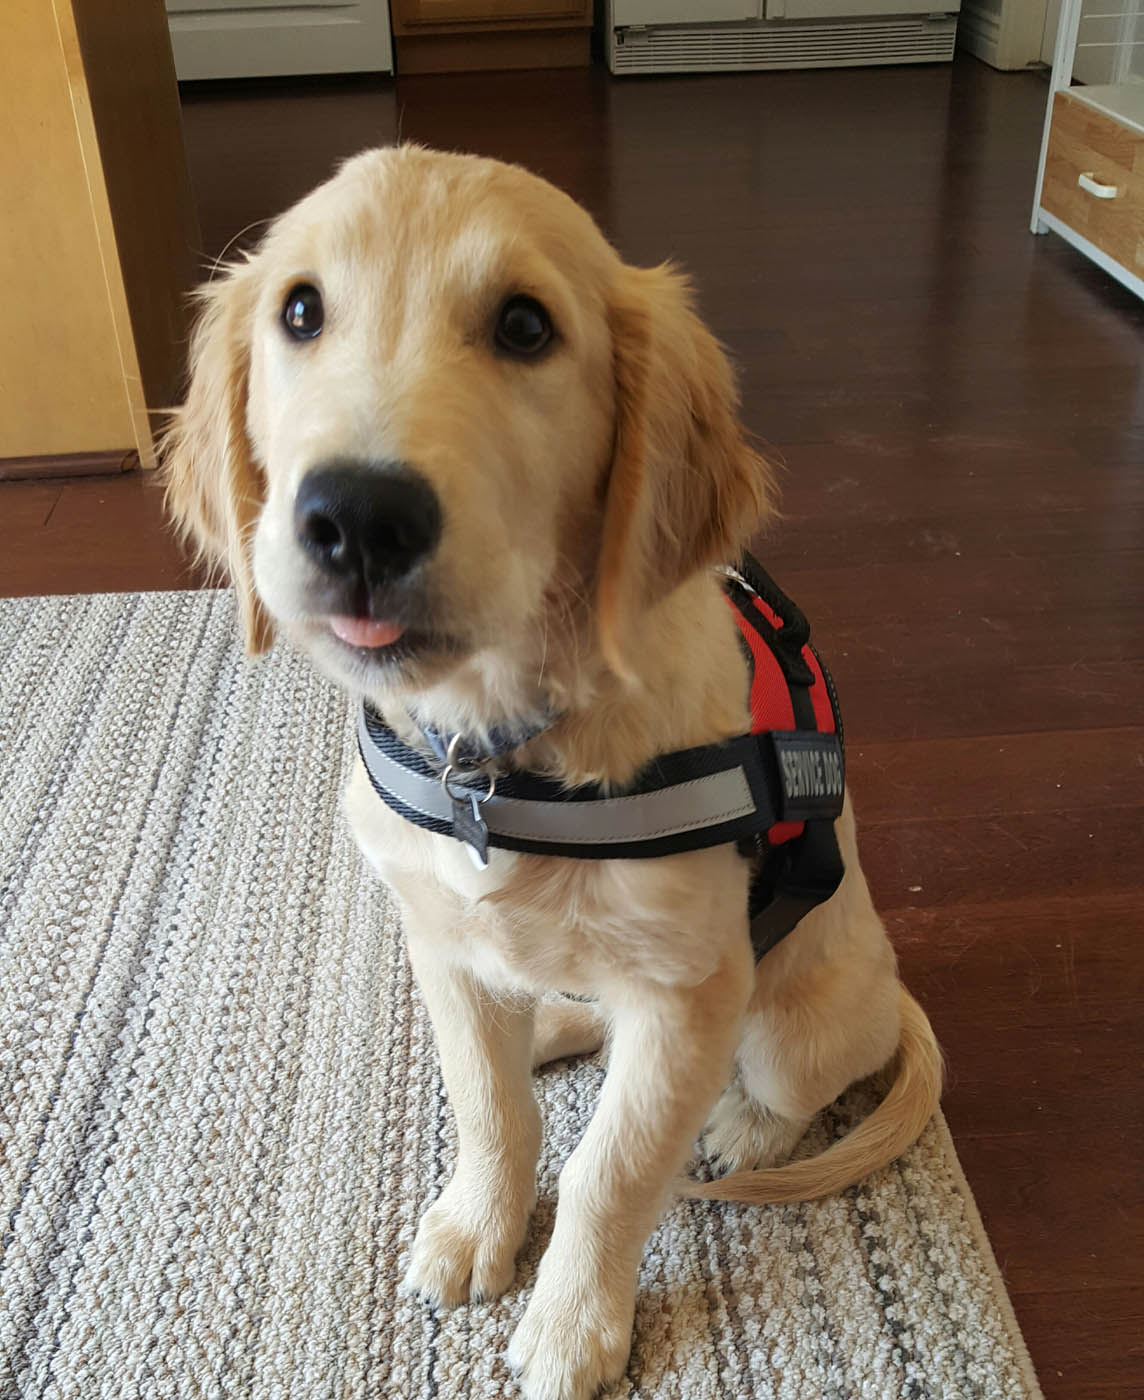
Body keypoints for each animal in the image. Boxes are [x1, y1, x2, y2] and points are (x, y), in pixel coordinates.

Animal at [165, 144, 940, 1400]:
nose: (356, 516)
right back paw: (554, 1027)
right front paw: (478, 1223)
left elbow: (611, 1167)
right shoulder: (440, 941)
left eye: (525, 327)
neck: (498, 754)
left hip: (796, 1015)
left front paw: (576, 1319)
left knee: (790, 1082)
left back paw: (744, 1125)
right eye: (300, 311)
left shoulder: (685, 994)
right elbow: (494, 1110)